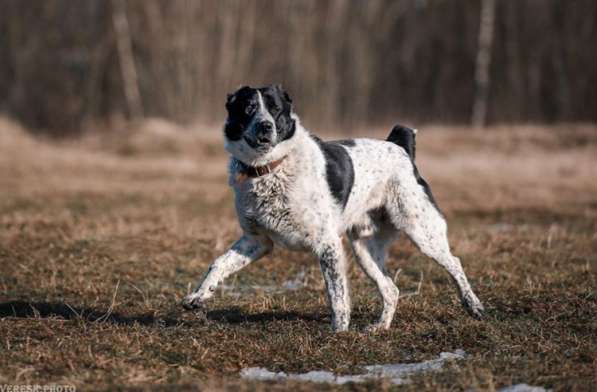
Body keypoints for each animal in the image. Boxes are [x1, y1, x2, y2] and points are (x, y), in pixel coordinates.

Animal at [183, 85, 484, 330]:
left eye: (275, 109)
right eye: (248, 108)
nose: (265, 126)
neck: (270, 168)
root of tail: (399, 148)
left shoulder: (327, 244)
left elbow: (337, 295)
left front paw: (339, 334)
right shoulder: (256, 241)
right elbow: (218, 264)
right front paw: (198, 296)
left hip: (422, 231)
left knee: (454, 263)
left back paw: (474, 306)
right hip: (365, 249)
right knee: (391, 288)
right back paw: (380, 328)